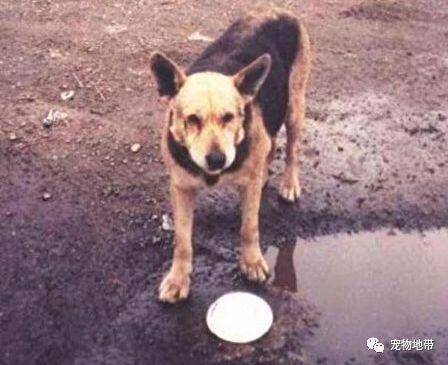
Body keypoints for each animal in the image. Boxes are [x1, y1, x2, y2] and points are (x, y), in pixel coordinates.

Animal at [149, 8, 310, 302]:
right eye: (192, 120)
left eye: (229, 117)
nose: (217, 160)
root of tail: (280, 10)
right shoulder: (181, 188)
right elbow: (182, 240)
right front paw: (179, 278)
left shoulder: (248, 188)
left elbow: (249, 228)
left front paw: (251, 262)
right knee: (271, 146)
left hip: (295, 106)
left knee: (292, 149)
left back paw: (289, 184)